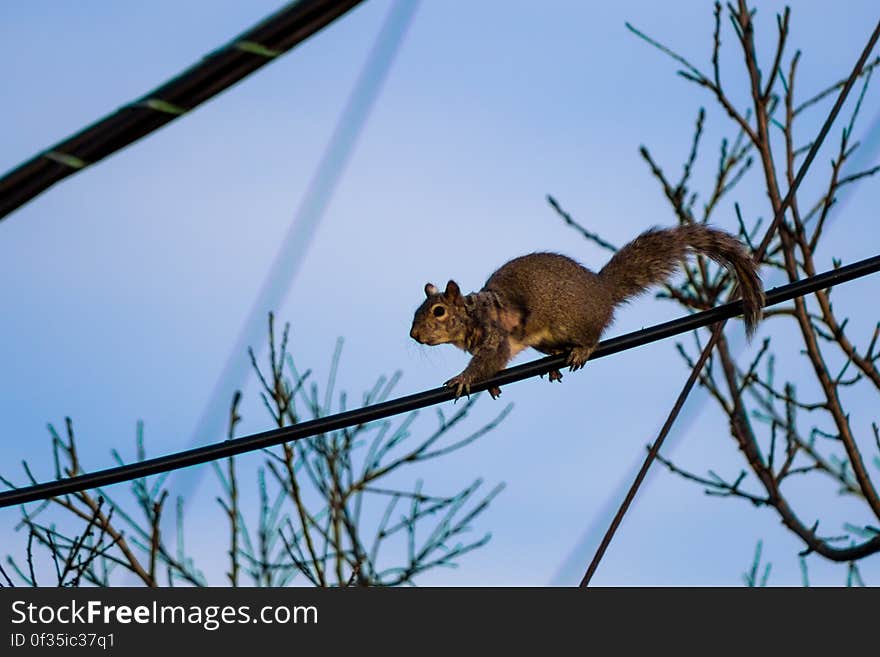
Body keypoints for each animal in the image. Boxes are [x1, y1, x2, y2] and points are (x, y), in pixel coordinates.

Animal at [410, 224, 764, 400]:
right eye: (418, 311)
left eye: (438, 311)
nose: (413, 335)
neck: (471, 315)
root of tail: (602, 291)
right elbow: (493, 366)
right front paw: (491, 385)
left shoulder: (495, 335)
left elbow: (487, 360)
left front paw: (462, 379)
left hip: (571, 320)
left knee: (593, 335)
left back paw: (581, 349)